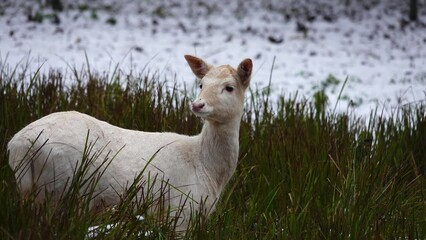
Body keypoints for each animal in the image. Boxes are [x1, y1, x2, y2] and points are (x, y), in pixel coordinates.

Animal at [7, 54, 253, 231]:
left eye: (229, 87)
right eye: (201, 84)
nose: (197, 105)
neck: (206, 168)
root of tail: (19, 146)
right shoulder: (180, 212)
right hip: (58, 188)